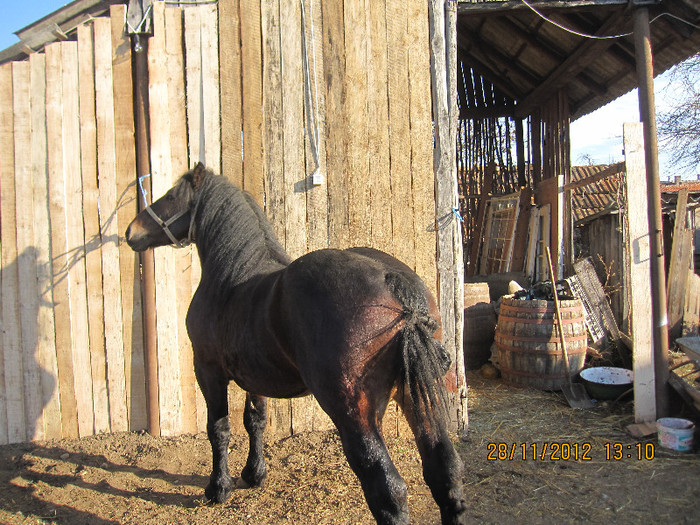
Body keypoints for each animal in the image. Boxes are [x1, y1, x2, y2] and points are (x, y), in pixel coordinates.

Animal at [125, 162, 468, 520]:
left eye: (170, 196)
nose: (130, 232)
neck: (229, 282)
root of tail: (395, 283)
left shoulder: (207, 370)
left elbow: (218, 428)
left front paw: (218, 488)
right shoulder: (255, 377)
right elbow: (255, 421)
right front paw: (254, 474)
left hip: (353, 412)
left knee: (388, 487)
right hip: (418, 396)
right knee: (446, 470)